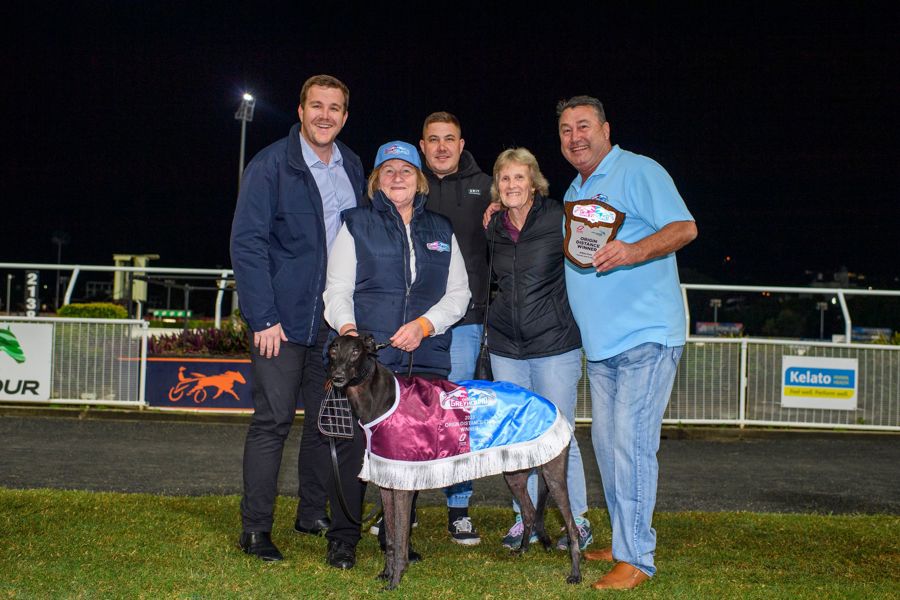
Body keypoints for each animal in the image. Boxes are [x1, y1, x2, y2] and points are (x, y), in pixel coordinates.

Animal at [326, 333, 582, 590]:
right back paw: (522, 551)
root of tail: (550, 404)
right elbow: (390, 537)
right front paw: (386, 573)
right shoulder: (387, 483)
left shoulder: (402, 484)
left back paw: (575, 574)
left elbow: (400, 540)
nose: (336, 377)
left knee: (571, 526)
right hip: (515, 473)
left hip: (553, 474)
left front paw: (396, 579)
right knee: (529, 512)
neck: (380, 396)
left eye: (356, 351)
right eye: (333, 350)